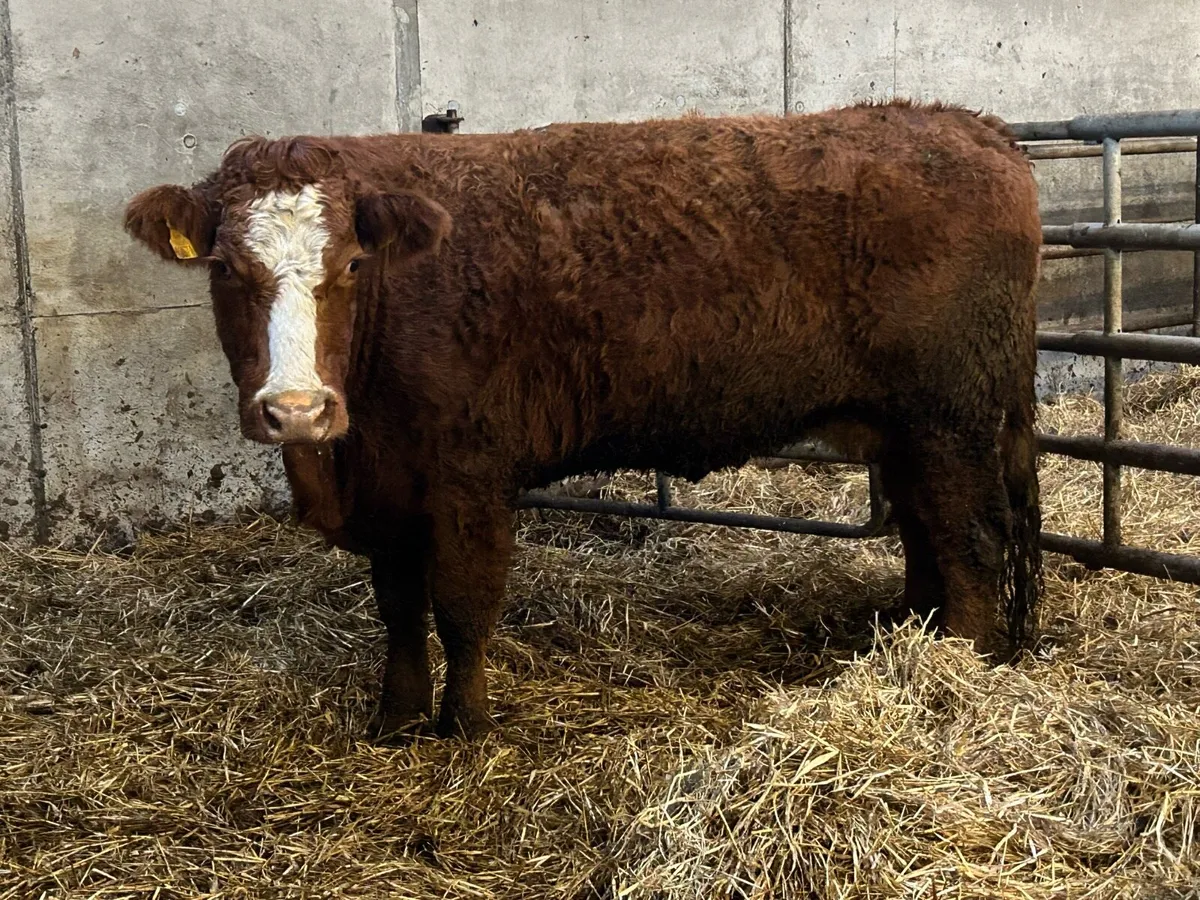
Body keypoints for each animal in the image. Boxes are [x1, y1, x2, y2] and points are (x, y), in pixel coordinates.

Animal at [124, 99, 1043, 740]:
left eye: (350, 264)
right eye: (225, 268)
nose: (296, 410)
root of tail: (971, 127)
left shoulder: (469, 479)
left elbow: (462, 605)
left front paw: (465, 725)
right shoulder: (390, 487)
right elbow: (398, 607)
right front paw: (397, 718)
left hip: (950, 418)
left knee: (970, 542)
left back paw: (954, 666)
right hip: (910, 430)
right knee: (927, 536)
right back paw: (905, 637)